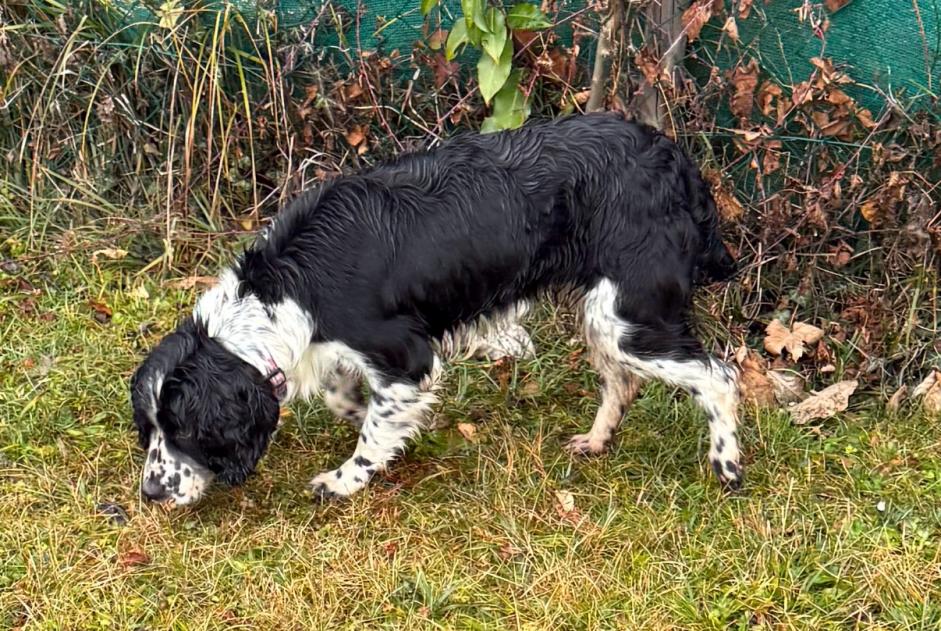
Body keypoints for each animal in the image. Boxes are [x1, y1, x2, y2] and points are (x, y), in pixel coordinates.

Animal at [130, 115, 740, 508]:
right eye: (149, 429)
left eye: (186, 430)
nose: (150, 492)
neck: (291, 286)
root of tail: (675, 158)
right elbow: (347, 399)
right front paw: (375, 421)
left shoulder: (405, 355)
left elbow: (373, 429)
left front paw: (346, 478)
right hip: (602, 313)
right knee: (623, 381)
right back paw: (595, 441)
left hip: (632, 316)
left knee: (720, 375)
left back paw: (727, 464)